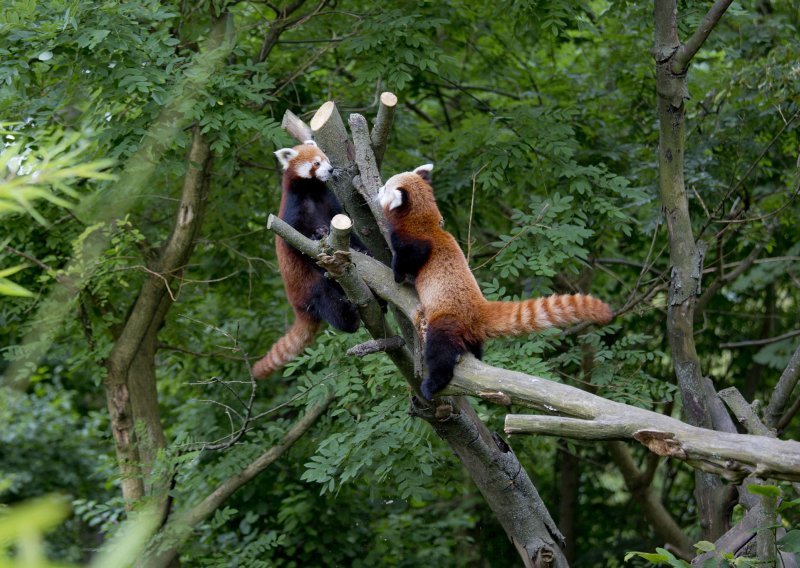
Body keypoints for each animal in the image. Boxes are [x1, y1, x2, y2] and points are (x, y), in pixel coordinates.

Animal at [252, 140, 364, 380]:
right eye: (316, 163)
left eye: (327, 159)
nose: (330, 170)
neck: (312, 191)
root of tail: (297, 307)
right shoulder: (293, 210)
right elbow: (298, 237)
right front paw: (316, 234)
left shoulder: (329, 203)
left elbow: (350, 233)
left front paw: (363, 249)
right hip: (310, 286)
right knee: (330, 303)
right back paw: (350, 318)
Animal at [378, 162, 616, 398]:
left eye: (385, 188)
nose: (377, 191)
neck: (423, 220)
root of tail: (479, 308)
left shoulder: (415, 241)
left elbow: (409, 258)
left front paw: (397, 275)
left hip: (447, 322)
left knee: (440, 352)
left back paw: (432, 384)